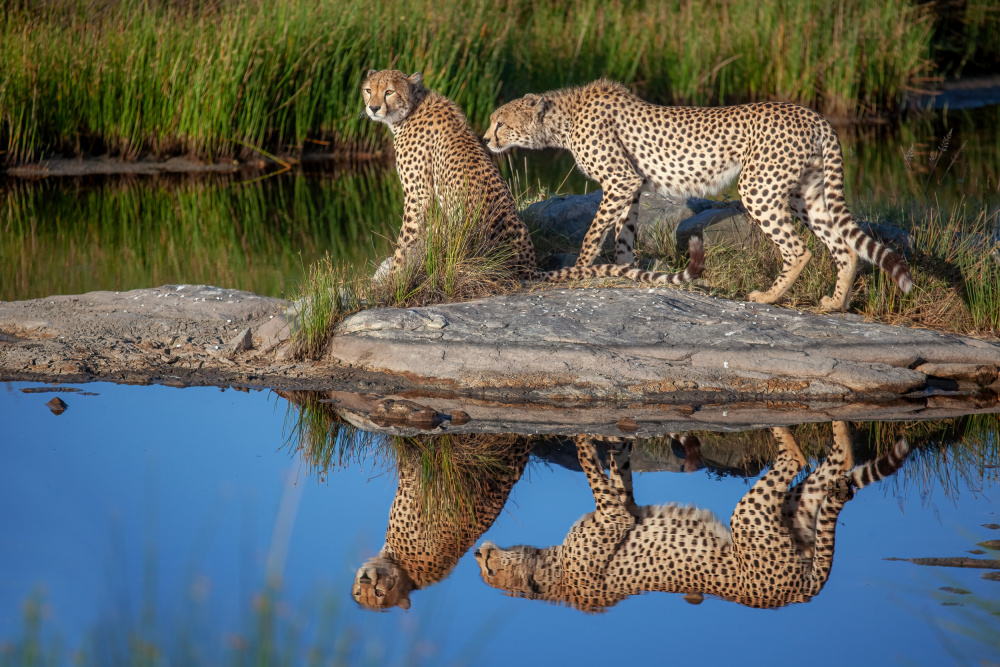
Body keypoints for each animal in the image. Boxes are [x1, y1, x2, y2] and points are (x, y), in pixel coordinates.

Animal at [362, 69, 704, 286]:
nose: (373, 107)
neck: (412, 106)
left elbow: (405, 240)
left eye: (389, 91)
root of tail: (529, 265)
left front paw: (392, 279)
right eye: (368, 89)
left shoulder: (417, 194)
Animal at [472, 426, 912, 612]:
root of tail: (798, 595)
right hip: (773, 513)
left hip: (763, 514)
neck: (554, 574)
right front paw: (599, 439)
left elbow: (600, 466)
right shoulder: (619, 514)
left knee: (813, 456)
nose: (478, 554)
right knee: (819, 459)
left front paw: (596, 436)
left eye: (489, 573)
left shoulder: (617, 514)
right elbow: (606, 473)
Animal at [484, 81, 916, 314]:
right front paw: (627, 274)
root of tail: (815, 115)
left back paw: (767, 297)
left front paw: (579, 272)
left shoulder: (620, 180)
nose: (486, 139)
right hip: (804, 193)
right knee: (843, 247)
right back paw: (835, 303)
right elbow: (623, 236)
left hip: (757, 187)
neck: (564, 120)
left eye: (500, 122)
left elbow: (593, 234)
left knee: (799, 249)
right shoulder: (632, 186)